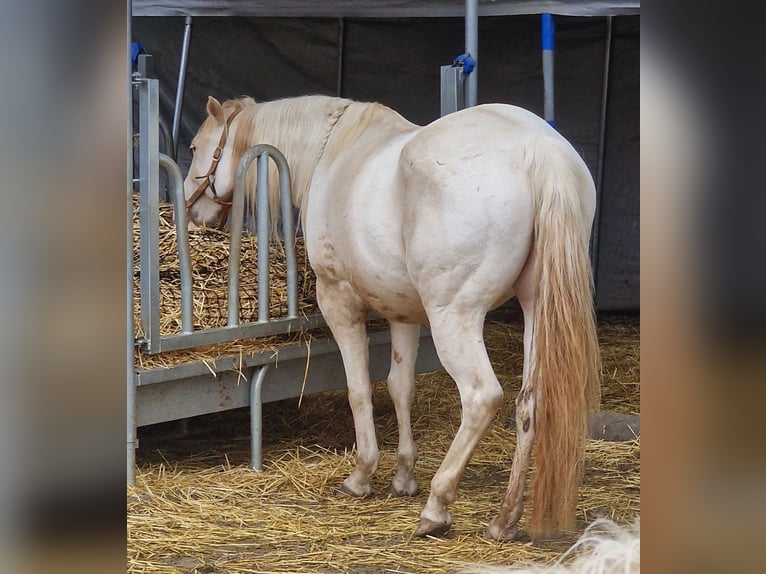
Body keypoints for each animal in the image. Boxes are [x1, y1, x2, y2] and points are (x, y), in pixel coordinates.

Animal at [183, 94, 601, 541]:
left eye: (194, 147)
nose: (194, 217)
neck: (332, 151)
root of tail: (538, 151)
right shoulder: (403, 311)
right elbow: (401, 387)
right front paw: (403, 478)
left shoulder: (339, 301)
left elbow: (359, 389)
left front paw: (362, 475)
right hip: (535, 308)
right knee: (529, 404)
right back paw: (504, 519)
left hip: (455, 318)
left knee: (481, 397)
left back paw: (437, 508)